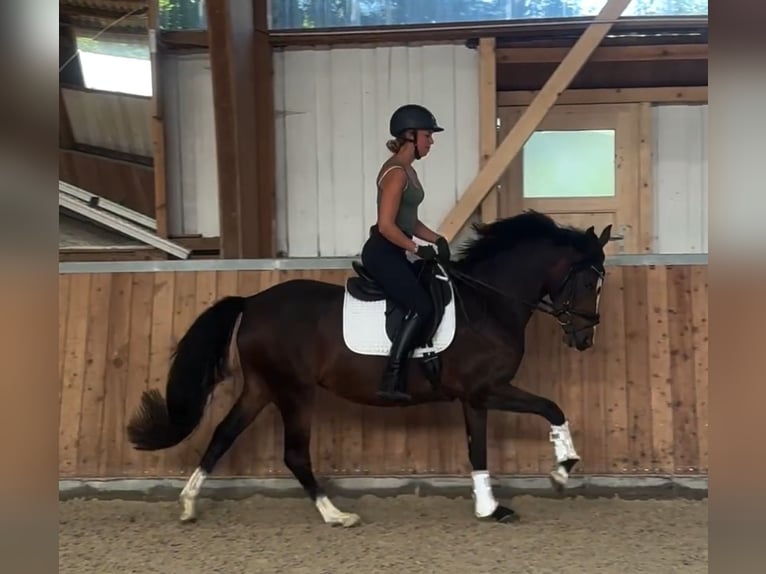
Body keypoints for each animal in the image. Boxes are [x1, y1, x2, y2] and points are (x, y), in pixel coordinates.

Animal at [129, 210, 616, 528]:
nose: (585, 339)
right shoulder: (486, 389)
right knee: (294, 453)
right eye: (586, 280)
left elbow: (486, 446)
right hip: (294, 390)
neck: (488, 303)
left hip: (263, 387)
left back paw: (189, 504)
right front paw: (560, 470)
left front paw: (496, 504)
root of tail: (251, 302)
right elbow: (547, 410)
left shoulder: (476, 397)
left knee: (222, 435)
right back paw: (336, 515)